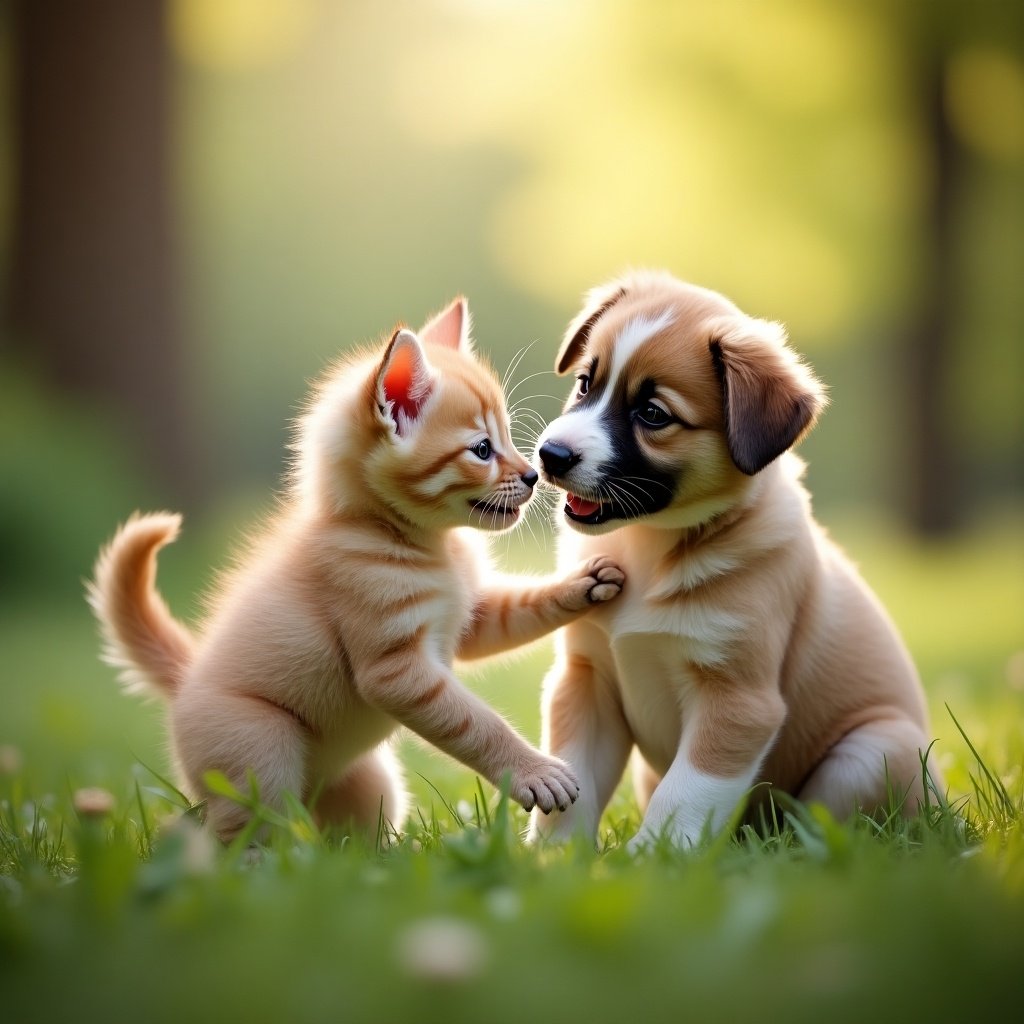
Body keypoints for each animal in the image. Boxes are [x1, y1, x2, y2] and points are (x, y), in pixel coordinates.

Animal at [90, 299, 622, 843]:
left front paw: (583, 585)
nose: (534, 475)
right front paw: (536, 772)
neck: (419, 541)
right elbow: (474, 723)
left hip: (368, 782)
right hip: (257, 751)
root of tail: (186, 679)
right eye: (481, 450)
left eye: (510, 439)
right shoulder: (398, 672)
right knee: (242, 834)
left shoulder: (469, 619)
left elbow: (517, 609)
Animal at [528, 270, 942, 847]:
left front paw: (649, 858)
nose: (551, 456)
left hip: (875, 750)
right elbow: (572, 782)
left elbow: (685, 793)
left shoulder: (738, 701)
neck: (650, 549)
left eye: (652, 414)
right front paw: (556, 858)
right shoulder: (585, 678)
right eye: (587, 383)